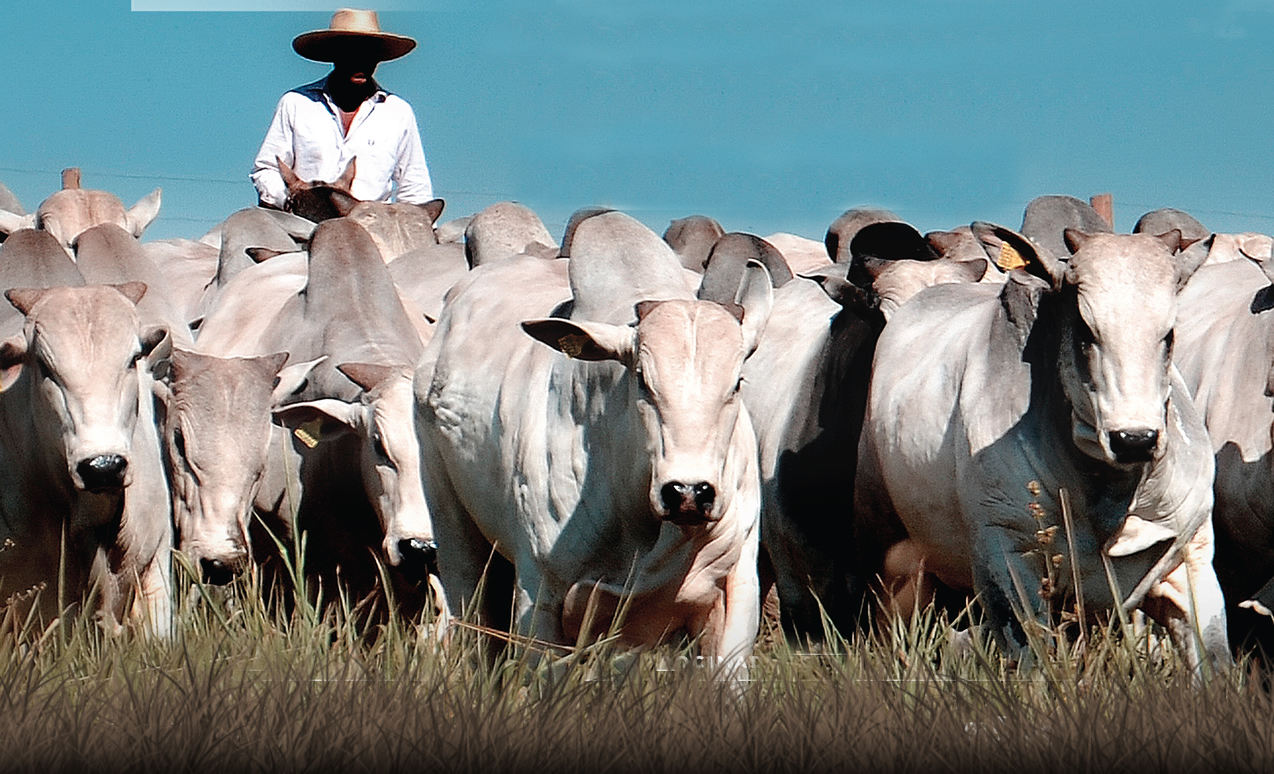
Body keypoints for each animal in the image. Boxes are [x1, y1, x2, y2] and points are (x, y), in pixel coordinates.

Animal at [422, 208, 769, 672]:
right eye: (642, 379)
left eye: (736, 383)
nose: (689, 493)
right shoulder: (540, 593)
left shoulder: (737, 595)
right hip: (450, 518)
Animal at [856, 222, 1233, 672]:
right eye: (1085, 329)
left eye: (1169, 334)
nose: (1134, 439)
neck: (1107, 492)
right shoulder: (1007, 563)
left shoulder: (1194, 558)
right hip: (890, 558)